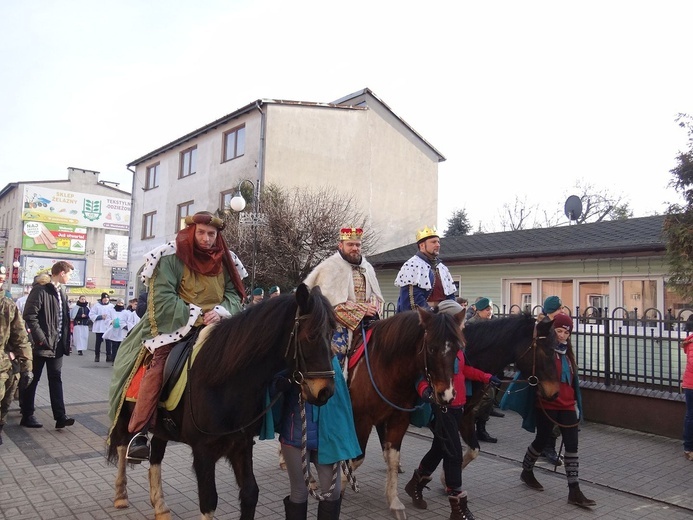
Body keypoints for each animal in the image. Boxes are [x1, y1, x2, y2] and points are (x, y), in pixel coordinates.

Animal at [104, 284, 338, 520]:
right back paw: (121, 494)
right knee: (122, 446)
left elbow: (250, 493)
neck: (222, 380)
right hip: (125, 415)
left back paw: (160, 506)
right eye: (311, 336)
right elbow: (209, 501)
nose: (325, 391)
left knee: (156, 457)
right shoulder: (203, 453)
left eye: (332, 334)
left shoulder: (241, 445)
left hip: (162, 427)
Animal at [348, 308, 462, 520]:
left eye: (458, 349)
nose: (447, 395)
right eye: (431, 348)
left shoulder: (398, 420)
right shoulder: (362, 420)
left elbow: (393, 459)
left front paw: (394, 501)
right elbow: (356, 458)